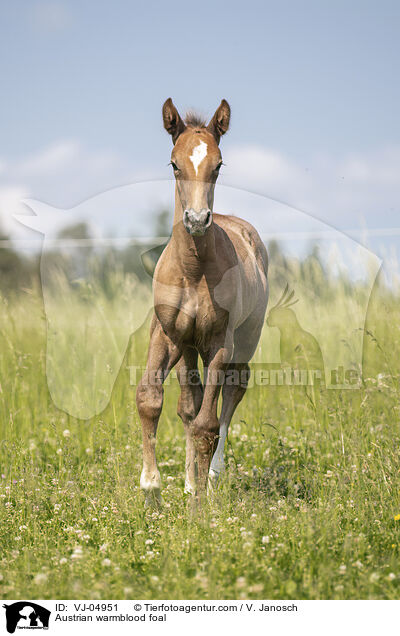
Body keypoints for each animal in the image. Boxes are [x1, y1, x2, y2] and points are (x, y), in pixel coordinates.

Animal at [137, 98, 268, 502]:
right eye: (174, 164)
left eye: (219, 164)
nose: (196, 220)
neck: (194, 271)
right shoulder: (166, 335)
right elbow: (151, 398)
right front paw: (151, 486)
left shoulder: (217, 343)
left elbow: (208, 424)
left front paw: (200, 497)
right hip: (187, 349)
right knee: (188, 404)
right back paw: (190, 478)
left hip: (244, 340)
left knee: (233, 390)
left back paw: (211, 474)